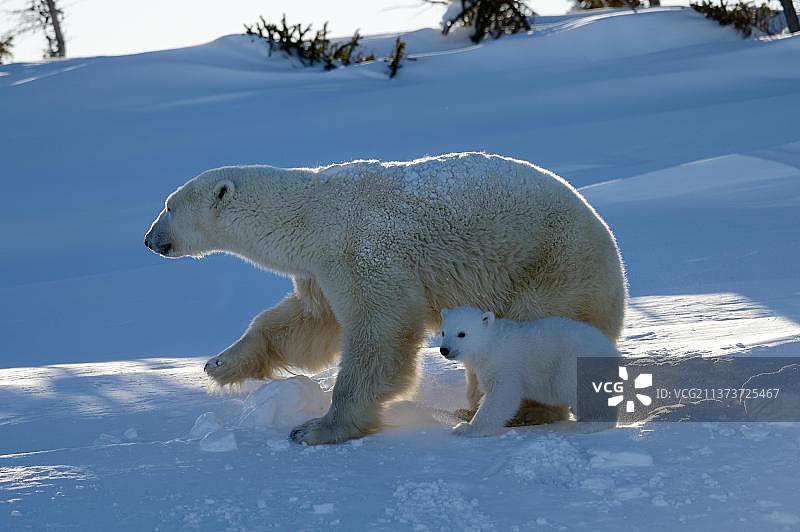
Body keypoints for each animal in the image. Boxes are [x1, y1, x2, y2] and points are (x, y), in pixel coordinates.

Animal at [440, 307, 621, 437]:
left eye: (462, 333)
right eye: (443, 332)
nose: (444, 350)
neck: (490, 343)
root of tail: (611, 351)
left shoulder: (504, 364)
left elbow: (501, 395)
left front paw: (467, 428)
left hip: (572, 362)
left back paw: (589, 424)